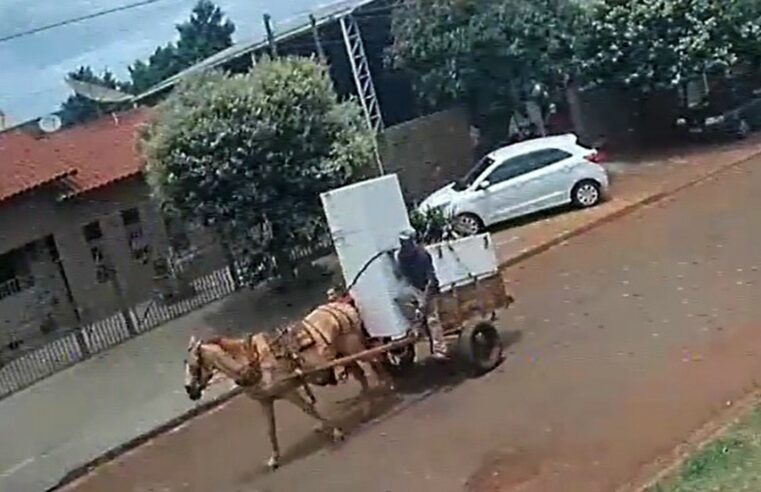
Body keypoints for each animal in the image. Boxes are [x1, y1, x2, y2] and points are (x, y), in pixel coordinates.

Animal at [186, 298, 392, 470]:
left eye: (193, 365)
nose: (189, 390)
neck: (254, 362)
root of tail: (341, 306)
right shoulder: (265, 401)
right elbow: (270, 430)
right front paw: (274, 458)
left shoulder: (289, 392)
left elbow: (309, 409)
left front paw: (334, 431)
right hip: (344, 355)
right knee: (362, 375)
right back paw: (367, 407)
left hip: (354, 348)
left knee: (377, 361)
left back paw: (388, 387)